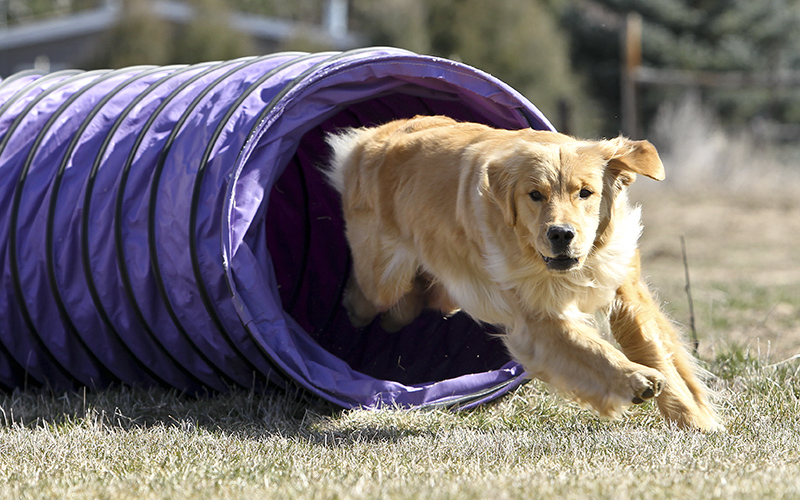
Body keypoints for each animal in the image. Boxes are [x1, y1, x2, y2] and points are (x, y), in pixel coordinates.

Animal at [322, 115, 720, 432]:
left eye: (585, 193)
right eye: (535, 195)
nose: (561, 234)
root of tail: (369, 137)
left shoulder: (623, 284)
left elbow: (654, 349)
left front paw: (694, 418)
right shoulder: (536, 317)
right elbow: (592, 348)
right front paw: (635, 378)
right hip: (383, 277)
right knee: (370, 298)